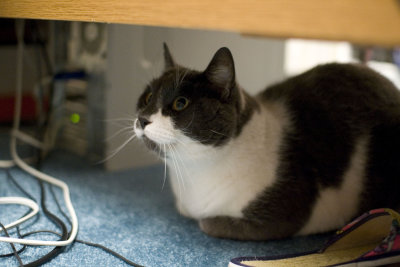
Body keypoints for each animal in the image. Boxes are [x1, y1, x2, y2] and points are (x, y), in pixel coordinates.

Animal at [134, 43, 400, 241]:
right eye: (147, 97)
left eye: (180, 103)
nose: (142, 119)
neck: (193, 176)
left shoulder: (288, 210)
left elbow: (207, 224)